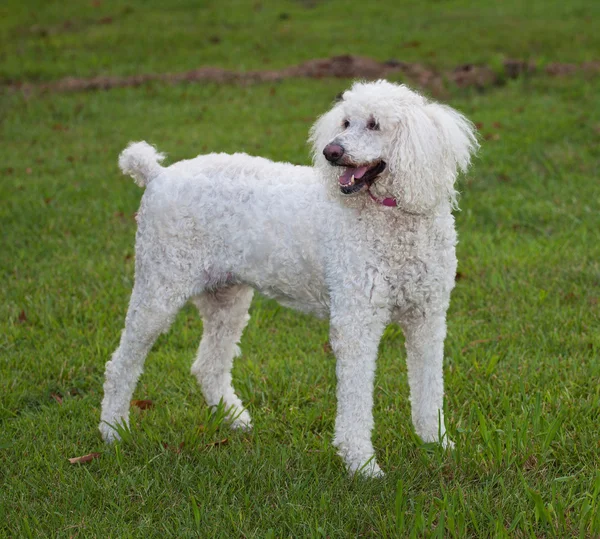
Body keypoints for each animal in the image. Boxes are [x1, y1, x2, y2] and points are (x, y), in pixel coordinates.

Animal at [101, 80, 480, 476]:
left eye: (374, 124)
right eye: (345, 122)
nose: (331, 152)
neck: (390, 217)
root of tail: (158, 174)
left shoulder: (427, 318)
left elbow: (429, 386)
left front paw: (436, 443)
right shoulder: (356, 321)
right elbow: (356, 398)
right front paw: (362, 465)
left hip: (227, 297)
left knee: (208, 365)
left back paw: (235, 419)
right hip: (159, 286)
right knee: (121, 365)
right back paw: (114, 431)